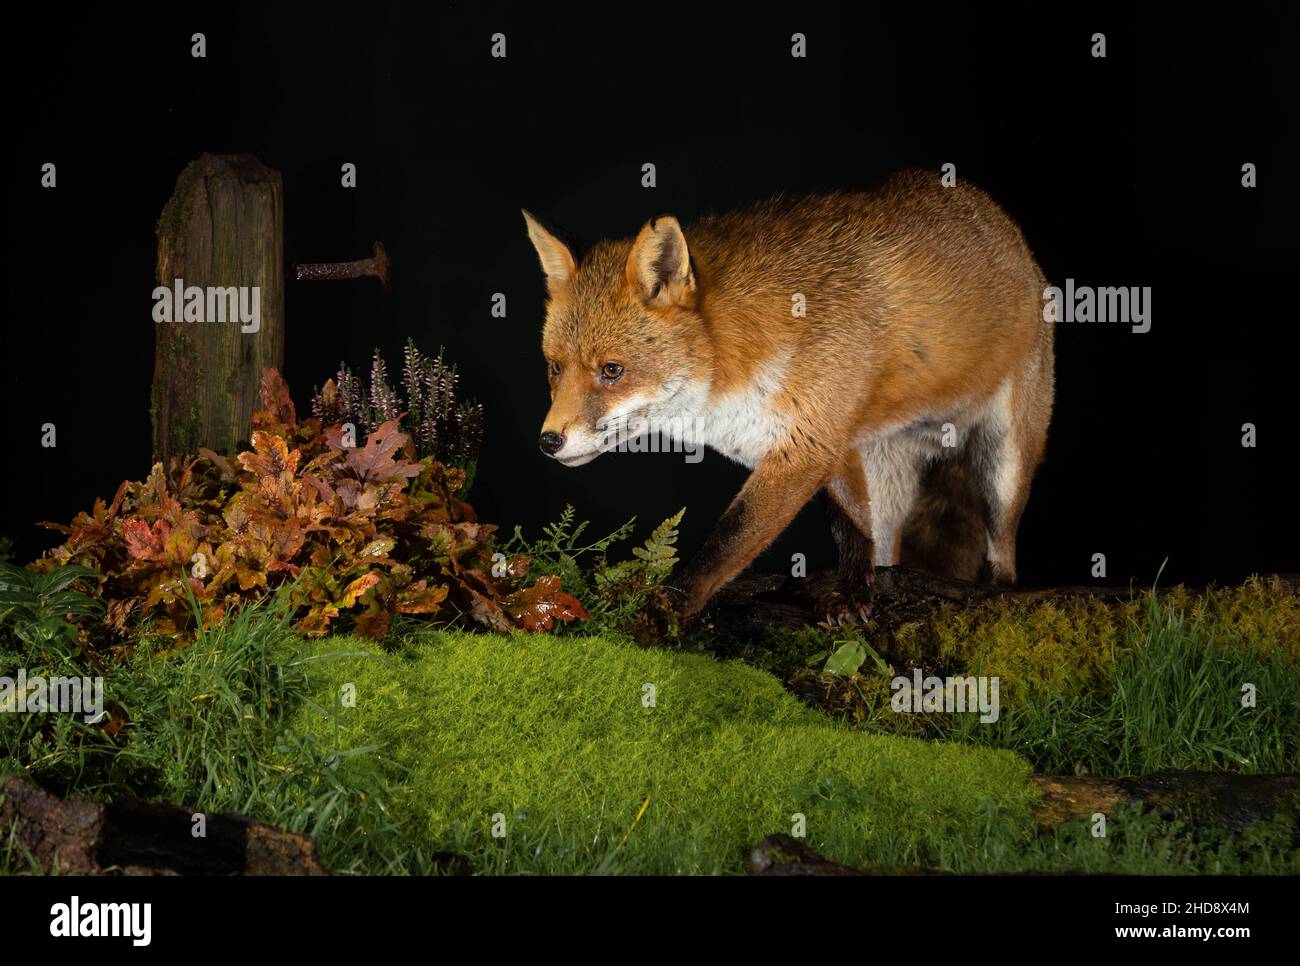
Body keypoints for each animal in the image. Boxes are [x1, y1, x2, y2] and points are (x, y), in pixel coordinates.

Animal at [523, 170, 1054, 623]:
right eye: (555, 368)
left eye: (612, 371)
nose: (548, 441)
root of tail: (1006, 229)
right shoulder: (832, 441)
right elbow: (851, 529)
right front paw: (856, 596)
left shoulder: (806, 446)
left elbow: (728, 540)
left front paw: (667, 607)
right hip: (886, 473)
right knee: (886, 541)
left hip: (1005, 461)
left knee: (1005, 552)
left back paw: (999, 590)